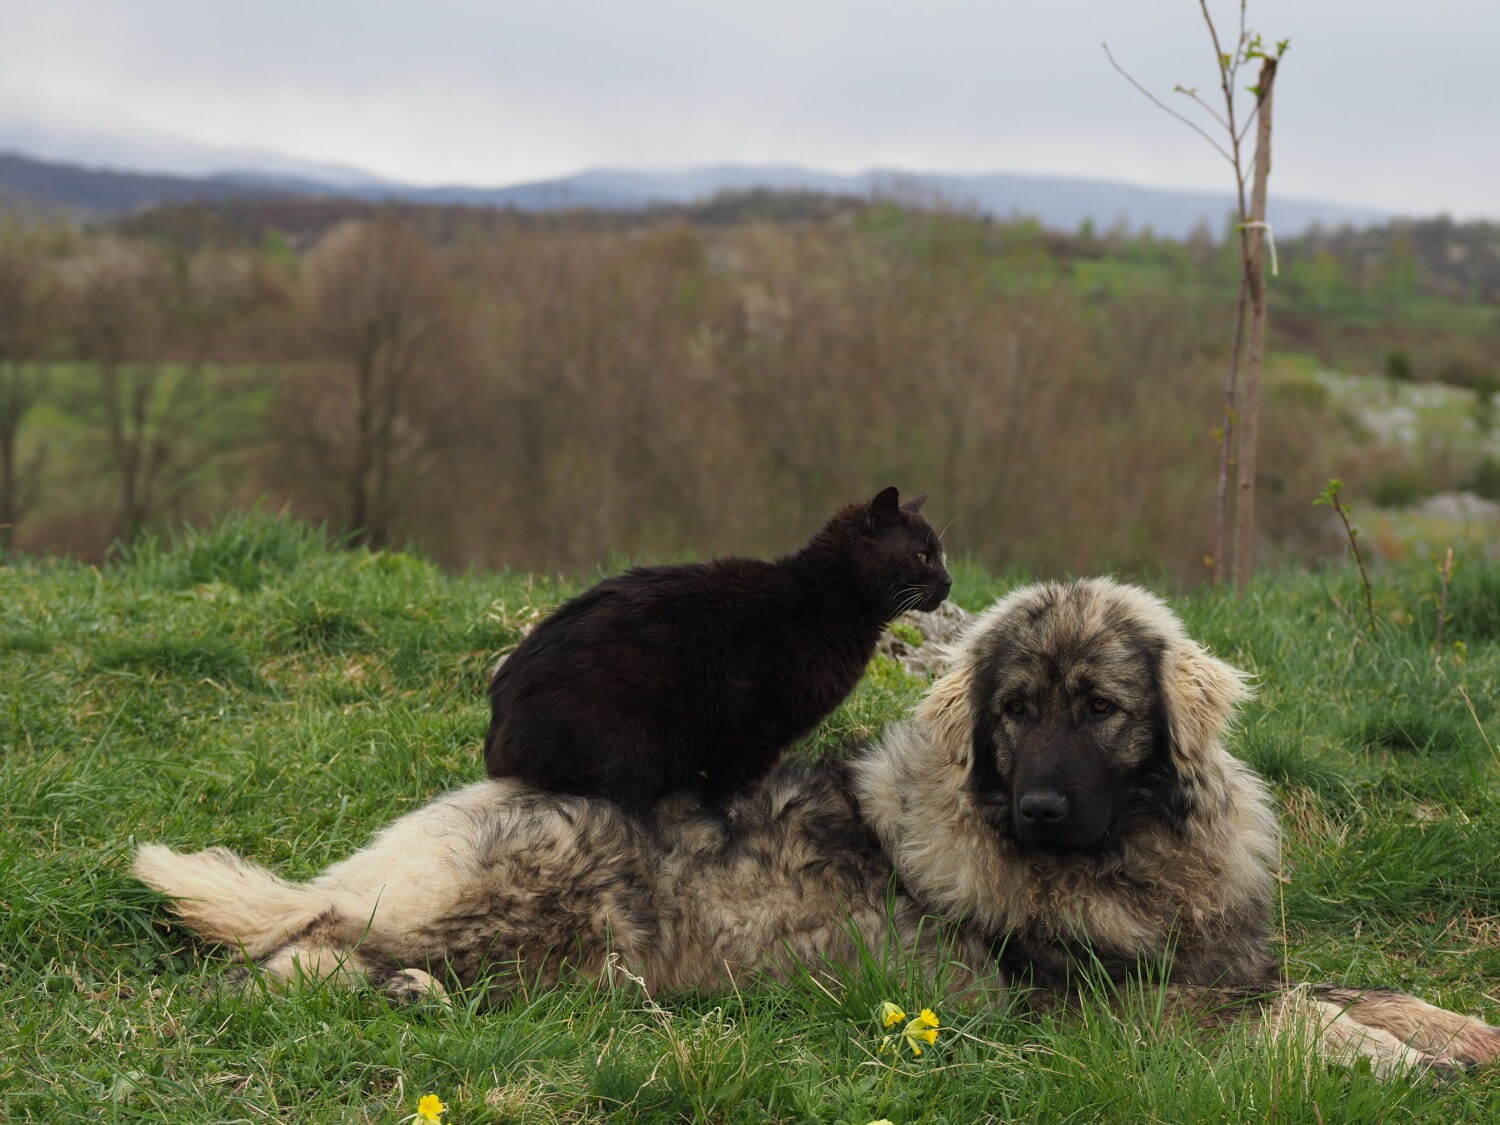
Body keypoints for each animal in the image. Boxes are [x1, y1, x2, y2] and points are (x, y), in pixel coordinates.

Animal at [135, 582, 1494, 1074]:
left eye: (1102, 710)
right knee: (296, 956)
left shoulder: (1220, 962)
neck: (1134, 857)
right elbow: (1297, 1020)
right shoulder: (1121, 1010)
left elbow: (1358, 987)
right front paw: (1385, 1062)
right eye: (1014, 713)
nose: (1041, 806)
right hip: (544, 912)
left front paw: (1454, 1033)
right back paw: (391, 989)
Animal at [483, 489, 948, 816]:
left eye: (942, 555)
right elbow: (728, 794)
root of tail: (501, 715)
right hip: (624, 760)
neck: (826, 601)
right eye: (923, 556)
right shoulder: (755, 733)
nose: (949, 582)